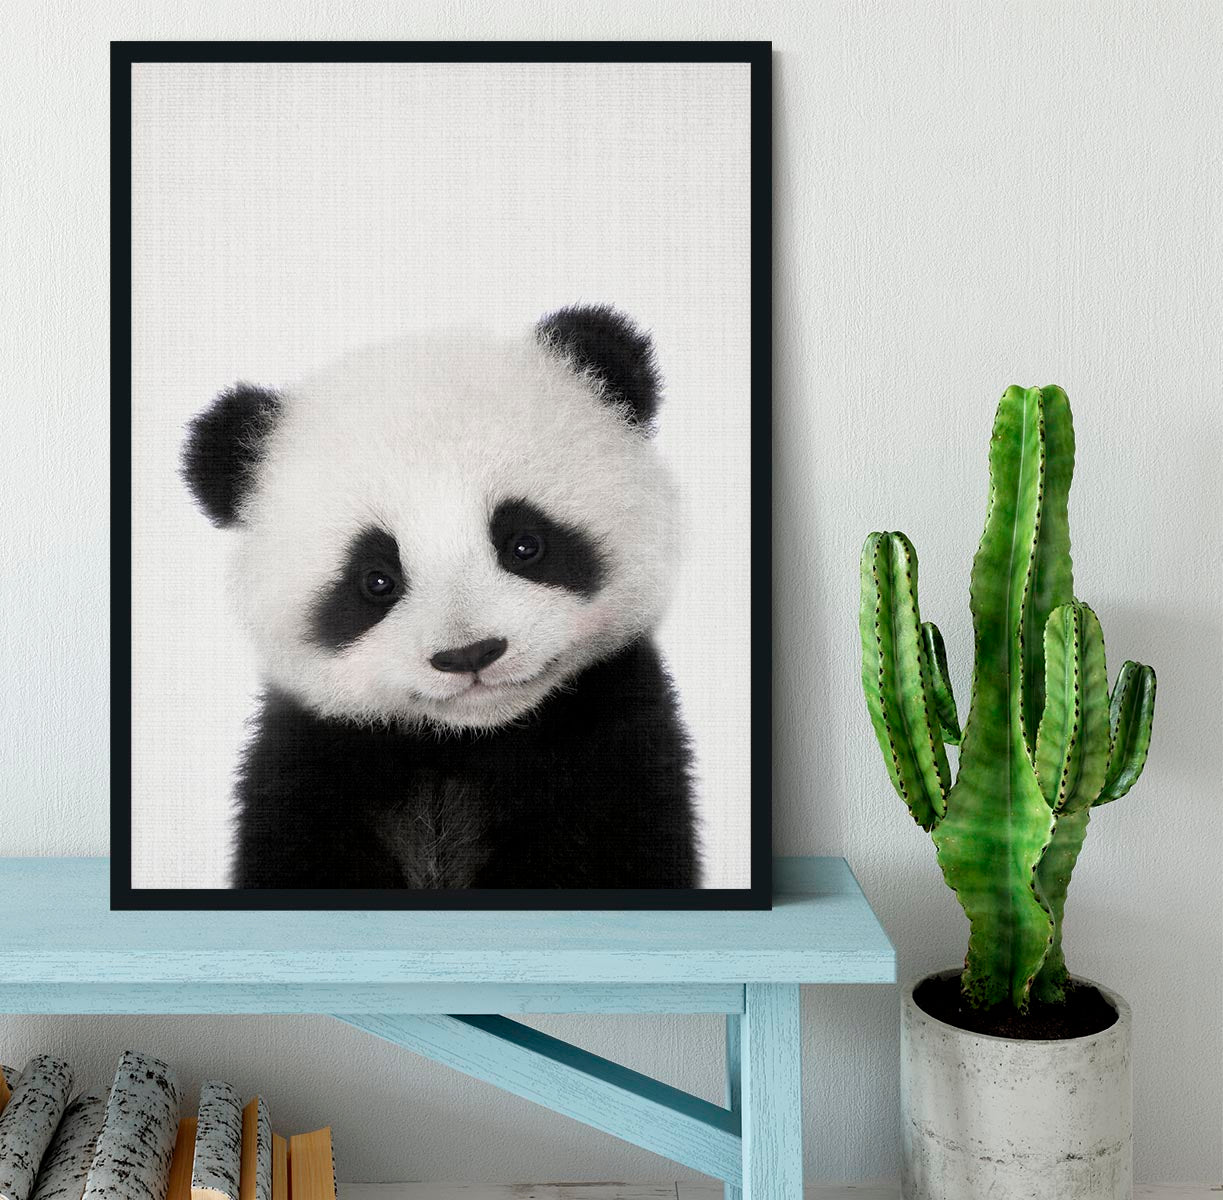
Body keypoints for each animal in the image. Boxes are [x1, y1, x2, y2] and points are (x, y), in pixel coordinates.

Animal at [181, 305, 699, 891]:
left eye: (525, 544)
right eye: (376, 580)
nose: (469, 654)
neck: (463, 742)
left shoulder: (612, 747)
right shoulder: (311, 766)